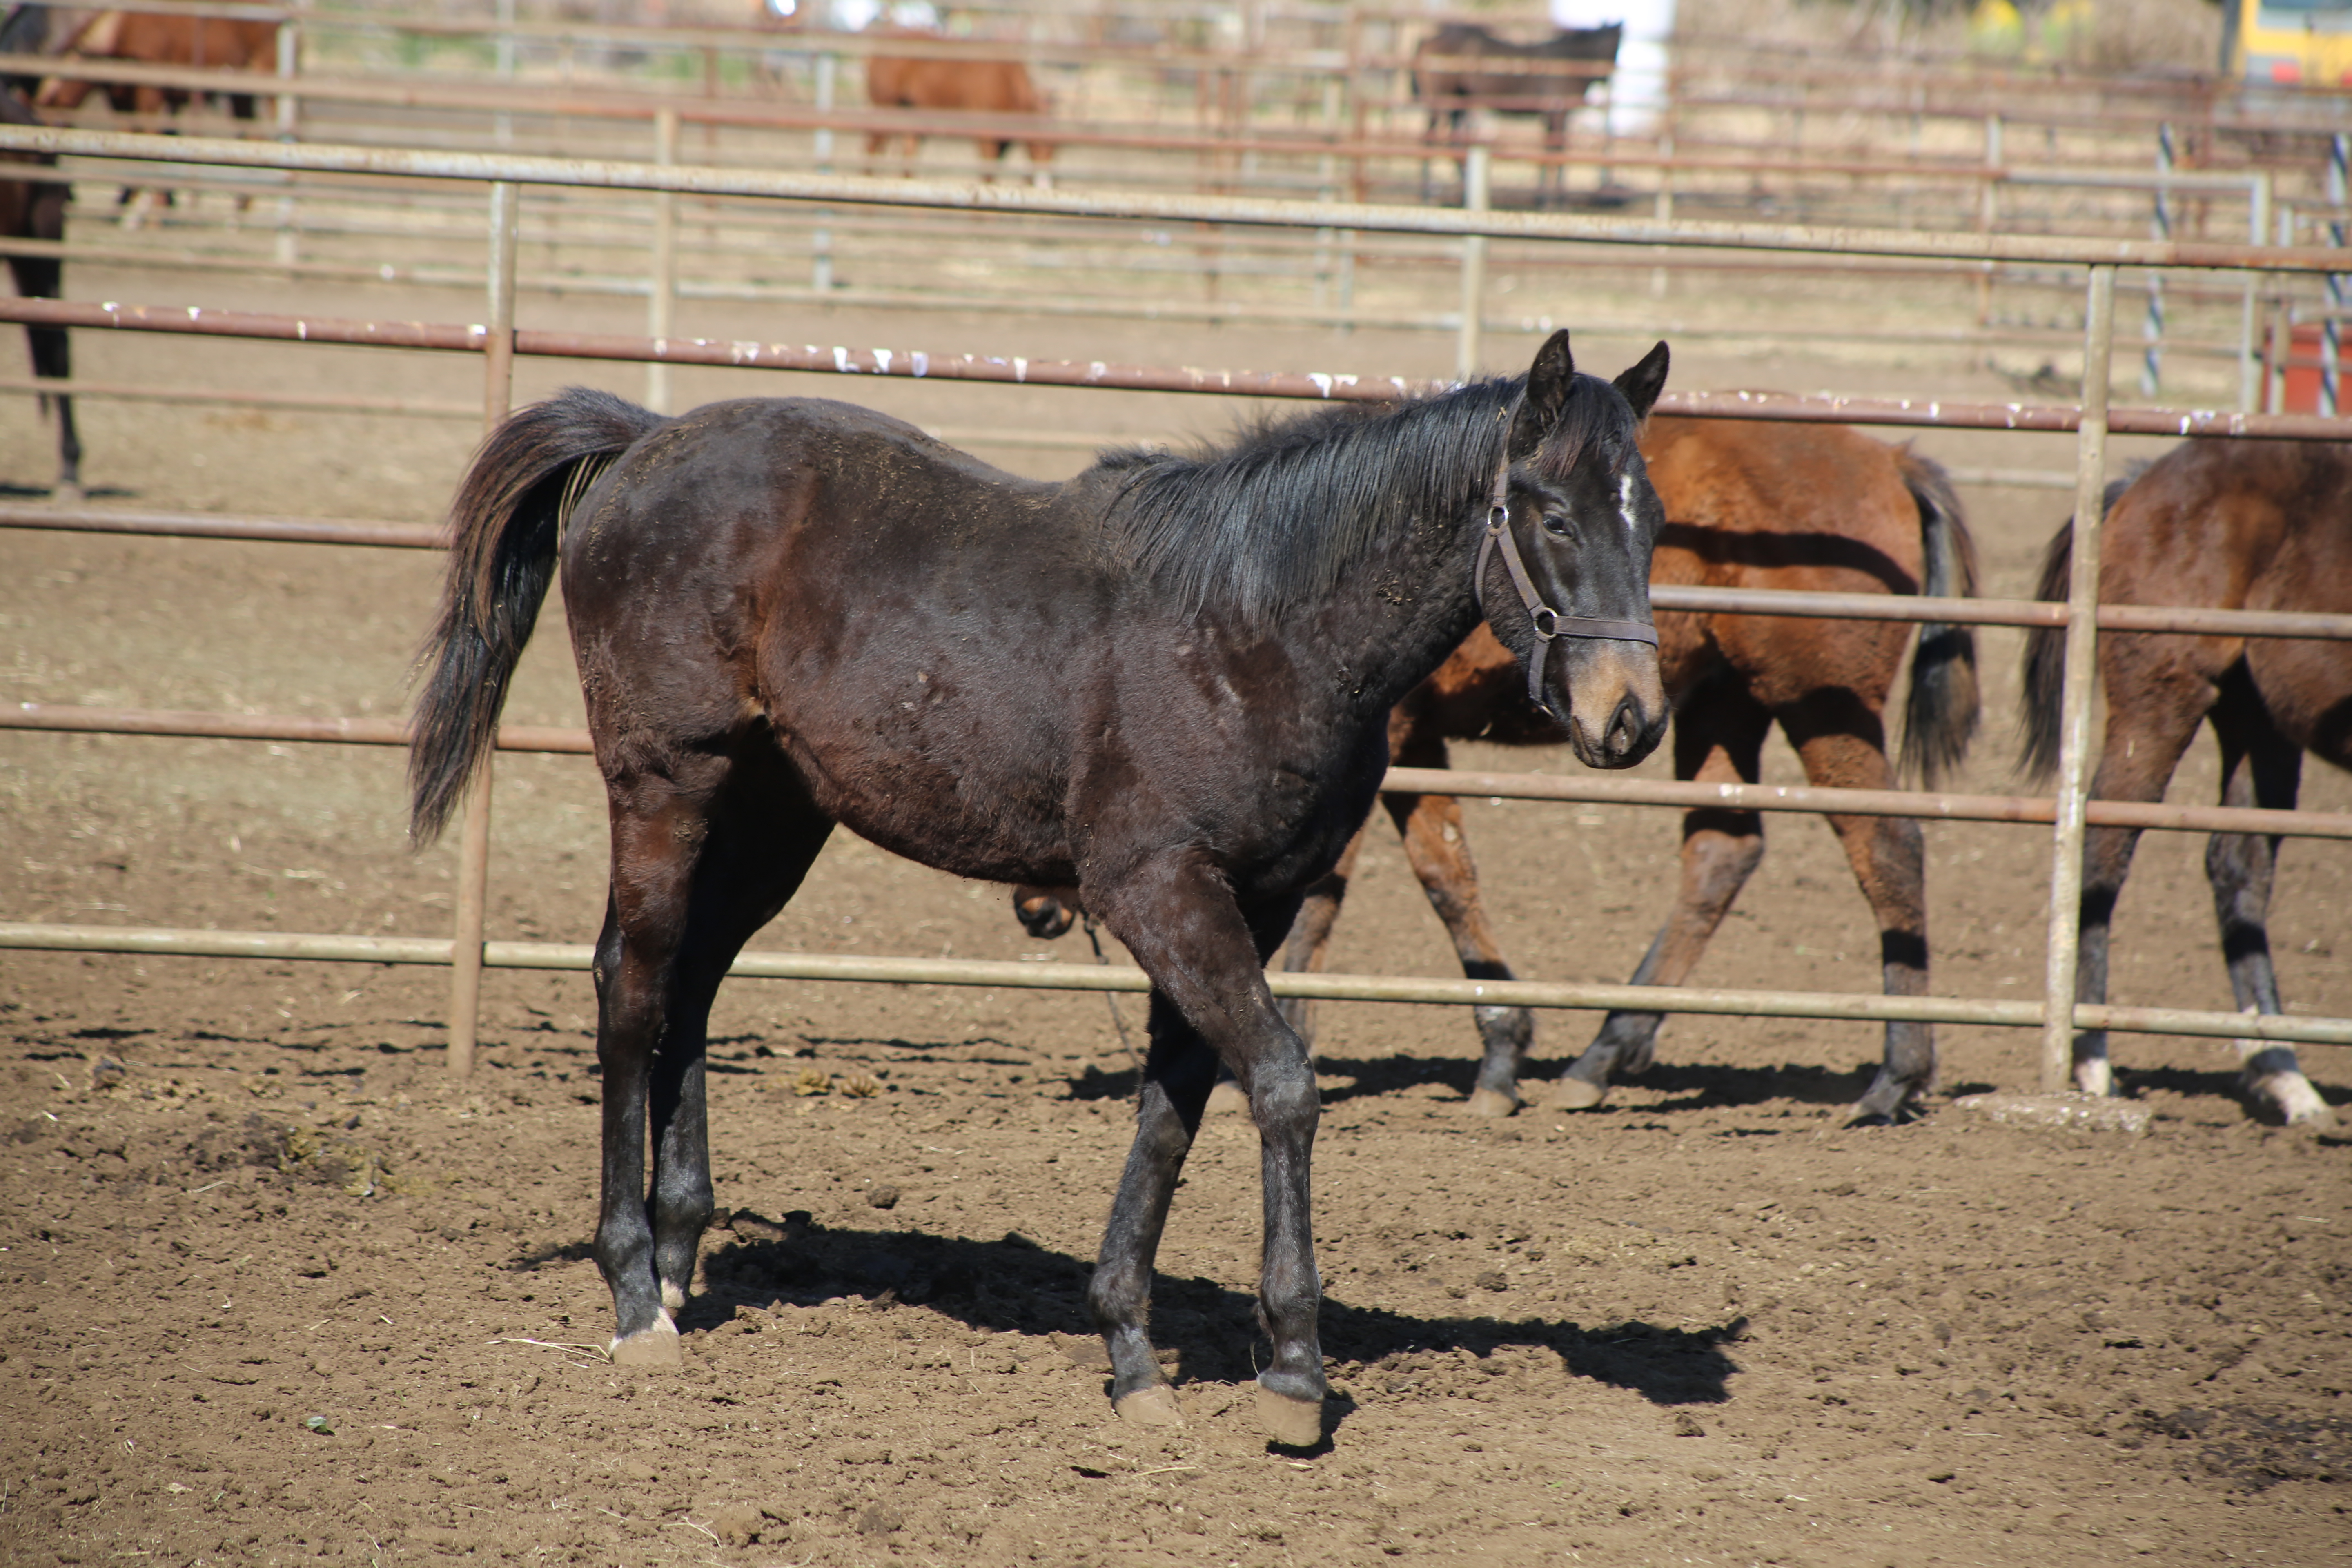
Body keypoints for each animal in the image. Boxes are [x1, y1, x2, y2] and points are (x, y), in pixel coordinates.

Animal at [1020, 416, 1976, 1128]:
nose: (1035, 908)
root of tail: (1889, 457)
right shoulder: (1413, 747)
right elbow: (1443, 870)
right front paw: (1501, 1052)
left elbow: (1357, 888)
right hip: (1721, 709)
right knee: (1722, 853)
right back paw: (1603, 1056)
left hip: (1819, 710)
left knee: (1885, 845)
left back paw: (1895, 1076)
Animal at [2022, 442, 2352, 1128]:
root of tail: (2138, 482)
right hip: (2163, 702)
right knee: (2105, 852)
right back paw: (2093, 1063)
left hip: (2259, 720)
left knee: (2239, 868)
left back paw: (2286, 1077)